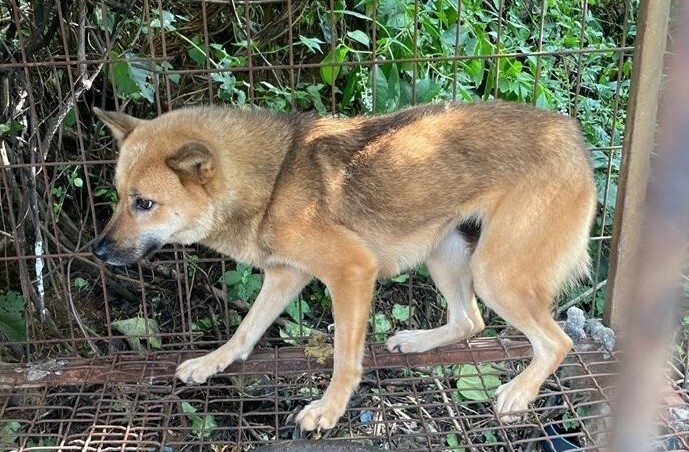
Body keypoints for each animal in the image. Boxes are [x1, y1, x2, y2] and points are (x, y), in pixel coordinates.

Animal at [92, 102, 596, 430]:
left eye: (144, 203)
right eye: (118, 196)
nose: (97, 251)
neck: (275, 179)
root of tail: (570, 134)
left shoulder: (351, 272)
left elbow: (343, 359)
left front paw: (328, 410)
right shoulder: (285, 275)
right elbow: (245, 330)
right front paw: (211, 363)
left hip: (495, 274)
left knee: (558, 342)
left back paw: (519, 393)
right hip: (445, 253)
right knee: (469, 321)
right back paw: (418, 341)